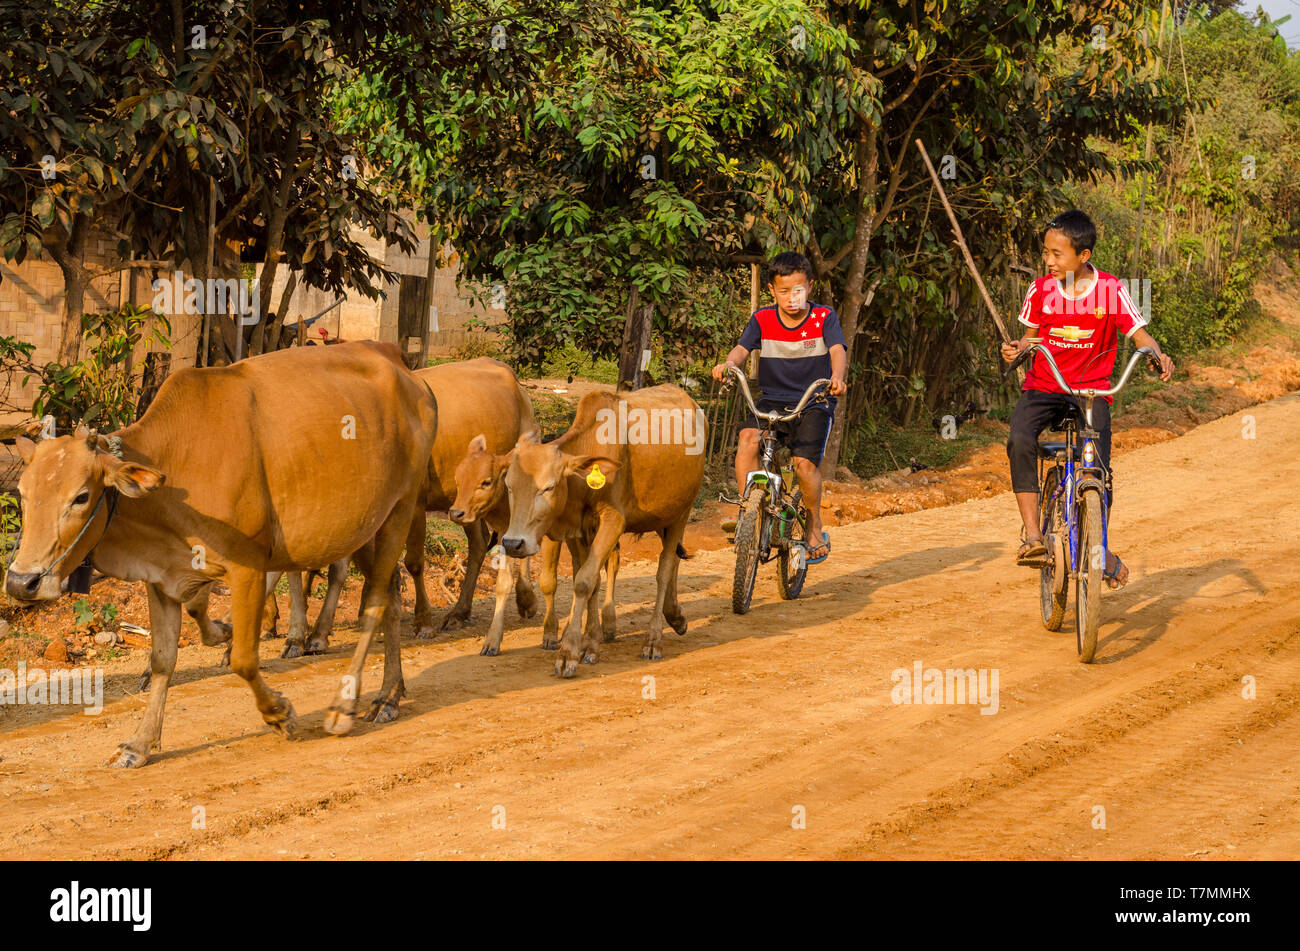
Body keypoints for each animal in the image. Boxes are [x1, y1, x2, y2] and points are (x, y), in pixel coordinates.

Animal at [1, 342, 441, 763]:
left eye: (81, 496)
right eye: (22, 493)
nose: (22, 583)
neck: (175, 474)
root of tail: (408, 373)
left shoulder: (248, 568)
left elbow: (244, 658)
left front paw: (278, 713)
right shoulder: (161, 578)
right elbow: (164, 659)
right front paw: (140, 744)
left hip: (401, 509)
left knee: (375, 601)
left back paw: (344, 705)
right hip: (366, 526)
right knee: (391, 597)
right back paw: (389, 696)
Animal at [501, 381, 707, 670]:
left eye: (549, 487)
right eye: (508, 486)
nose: (512, 543)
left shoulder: (613, 521)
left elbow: (584, 582)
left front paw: (570, 651)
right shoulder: (580, 530)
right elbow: (592, 580)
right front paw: (590, 643)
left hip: (681, 512)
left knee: (664, 570)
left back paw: (653, 639)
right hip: (662, 515)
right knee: (674, 560)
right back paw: (675, 616)